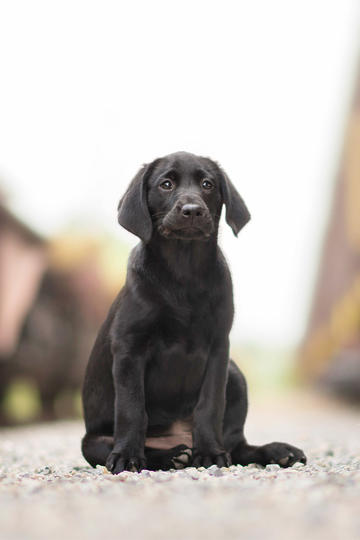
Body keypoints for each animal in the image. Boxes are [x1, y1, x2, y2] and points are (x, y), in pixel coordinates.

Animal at [82, 151, 306, 472]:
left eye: (207, 184)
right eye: (165, 184)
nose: (192, 210)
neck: (183, 271)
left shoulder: (219, 348)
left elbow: (210, 405)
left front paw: (210, 452)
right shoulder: (129, 348)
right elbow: (132, 408)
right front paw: (127, 456)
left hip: (234, 374)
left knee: (238, 447)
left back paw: (276, 451)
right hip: (91, 443)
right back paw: (171, 455)